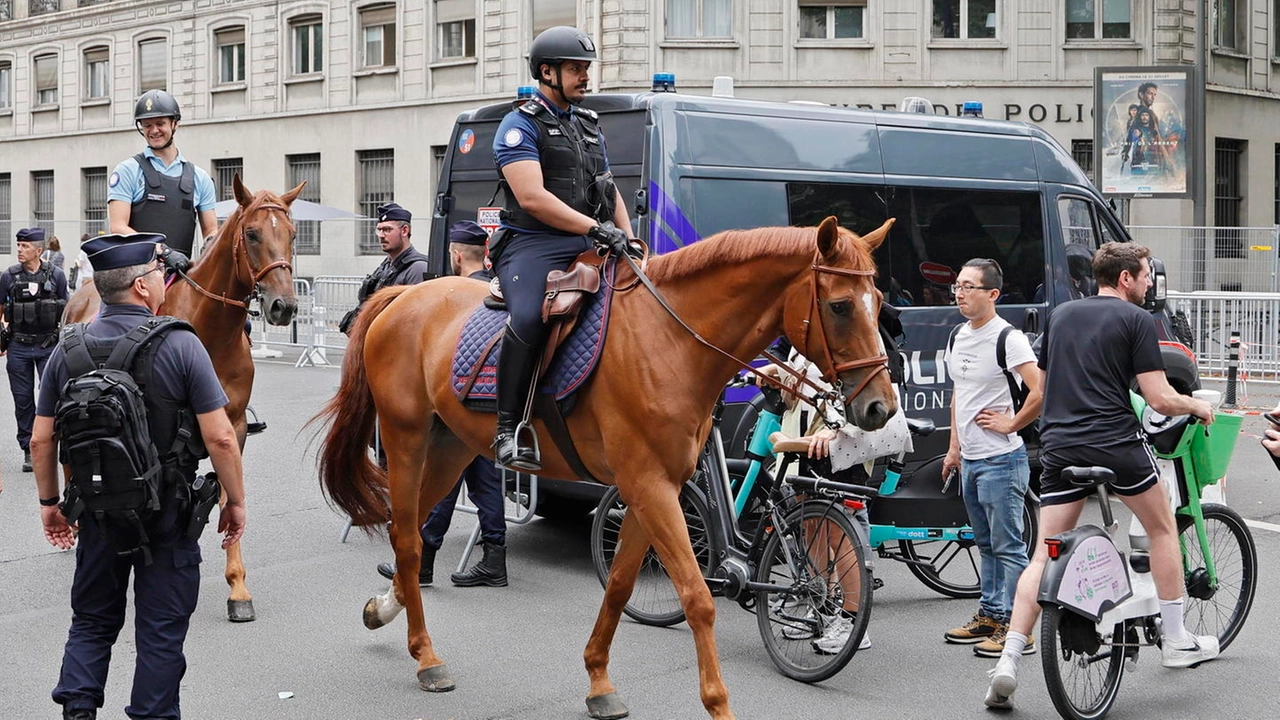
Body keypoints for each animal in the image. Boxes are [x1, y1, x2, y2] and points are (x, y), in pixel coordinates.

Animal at [66, 172, 303, 617]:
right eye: (251, 233)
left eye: (294, 234)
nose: (284, 306)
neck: (214, 332)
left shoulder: (232, 427)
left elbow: (229, 496)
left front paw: (237, 587)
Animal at [314, 215, 896, 712]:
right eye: (841, 306)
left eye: (881, 302)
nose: (880, 407)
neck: (671, 341)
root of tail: (407, 294)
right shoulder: (649, 487)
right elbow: (697, 596)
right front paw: (717, 703)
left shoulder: (653, 489)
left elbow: (619, 584)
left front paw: (598, 681)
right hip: (406, 438)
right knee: (408, 537)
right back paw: (426, 657)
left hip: (451, 447)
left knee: (409, 530)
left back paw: (386, 610)